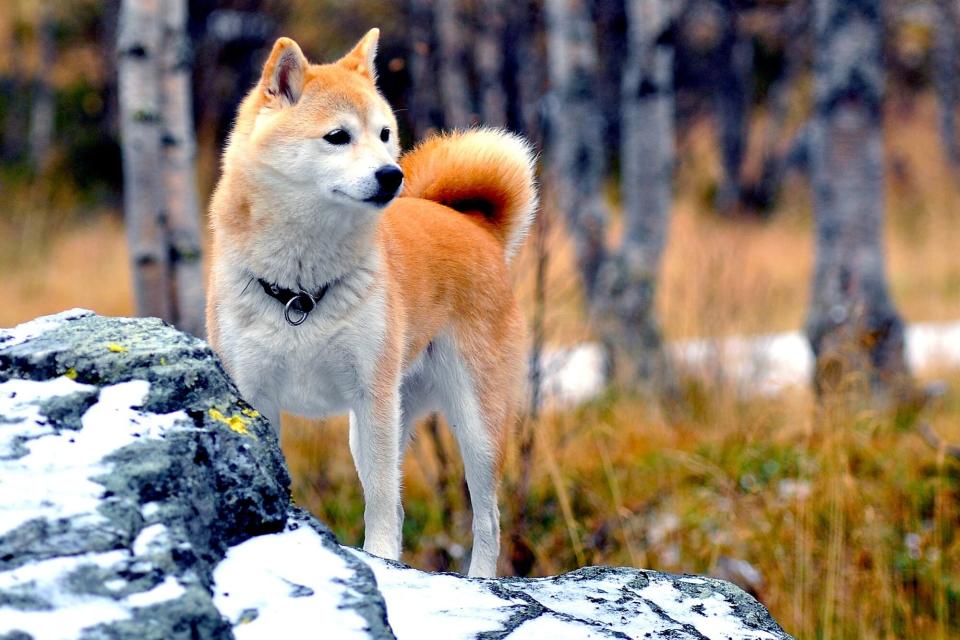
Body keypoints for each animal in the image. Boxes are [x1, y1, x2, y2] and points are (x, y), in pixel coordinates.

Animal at [206, 30, 536, 576]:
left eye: (384, 133)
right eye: (337, 136)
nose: (391, 175)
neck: (301, 291)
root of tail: (474, 225)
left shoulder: (371, 395)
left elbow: (381, 503)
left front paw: (380, 560)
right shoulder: (255, 394)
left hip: (473, 425)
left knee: (487, 520)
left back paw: (480, 578)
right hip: (384, 424)